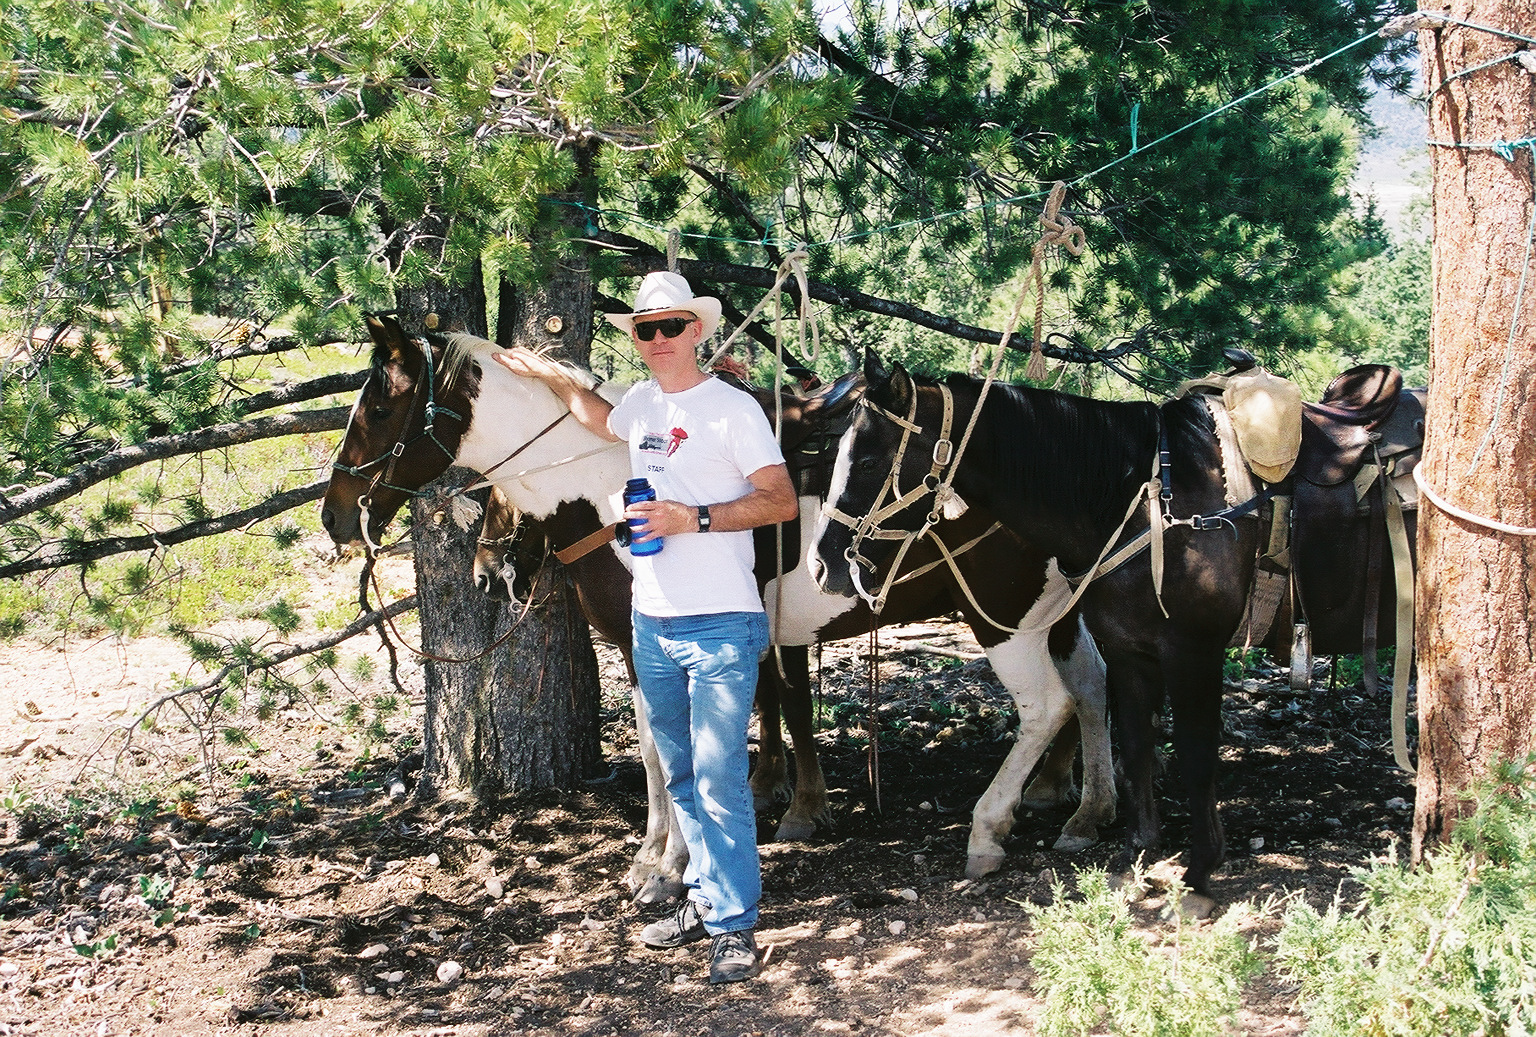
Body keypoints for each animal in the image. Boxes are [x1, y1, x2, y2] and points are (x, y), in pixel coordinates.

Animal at [321, 314, 1113, 895]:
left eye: (380, 406)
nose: (335, 516)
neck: (611, 490)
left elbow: (674, 743)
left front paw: (669, 863)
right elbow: (673, 740)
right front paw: (661, 852)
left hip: (1003, 617)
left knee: (1047, 705)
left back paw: (991, 829)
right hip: (1053, 611)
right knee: (1091, 687)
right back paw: (1086, 811)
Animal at [811, 350, 1421, 902]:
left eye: (867, 462)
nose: (823, 564)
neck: (1148, 499)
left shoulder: (1194, 653)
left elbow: (1196, 756)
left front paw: (1200, 871)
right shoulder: (1131, 652)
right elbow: (1137, 748)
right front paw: (1140, 856)